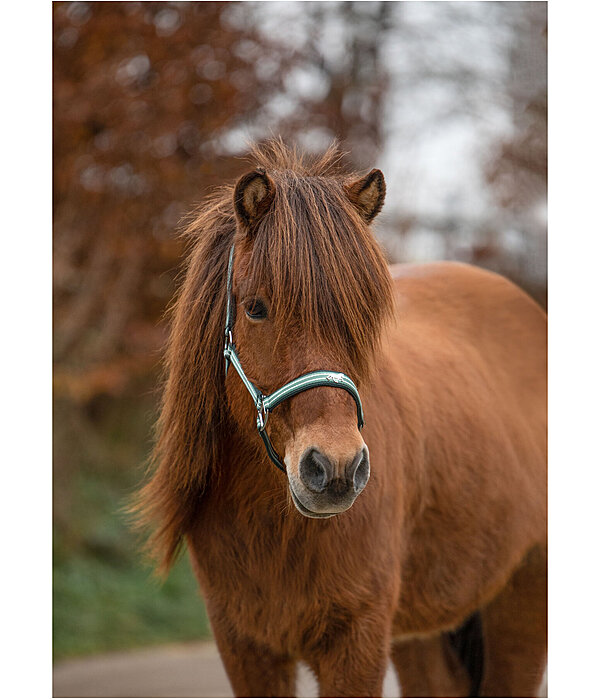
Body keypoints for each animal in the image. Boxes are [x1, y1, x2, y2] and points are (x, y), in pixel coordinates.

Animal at [134, 139, 548, 696]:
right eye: (256, 308)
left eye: (364, 315)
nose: (335, 470)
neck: (271, 521)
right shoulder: (245, 648)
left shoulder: (357, 642)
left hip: (522, 603)